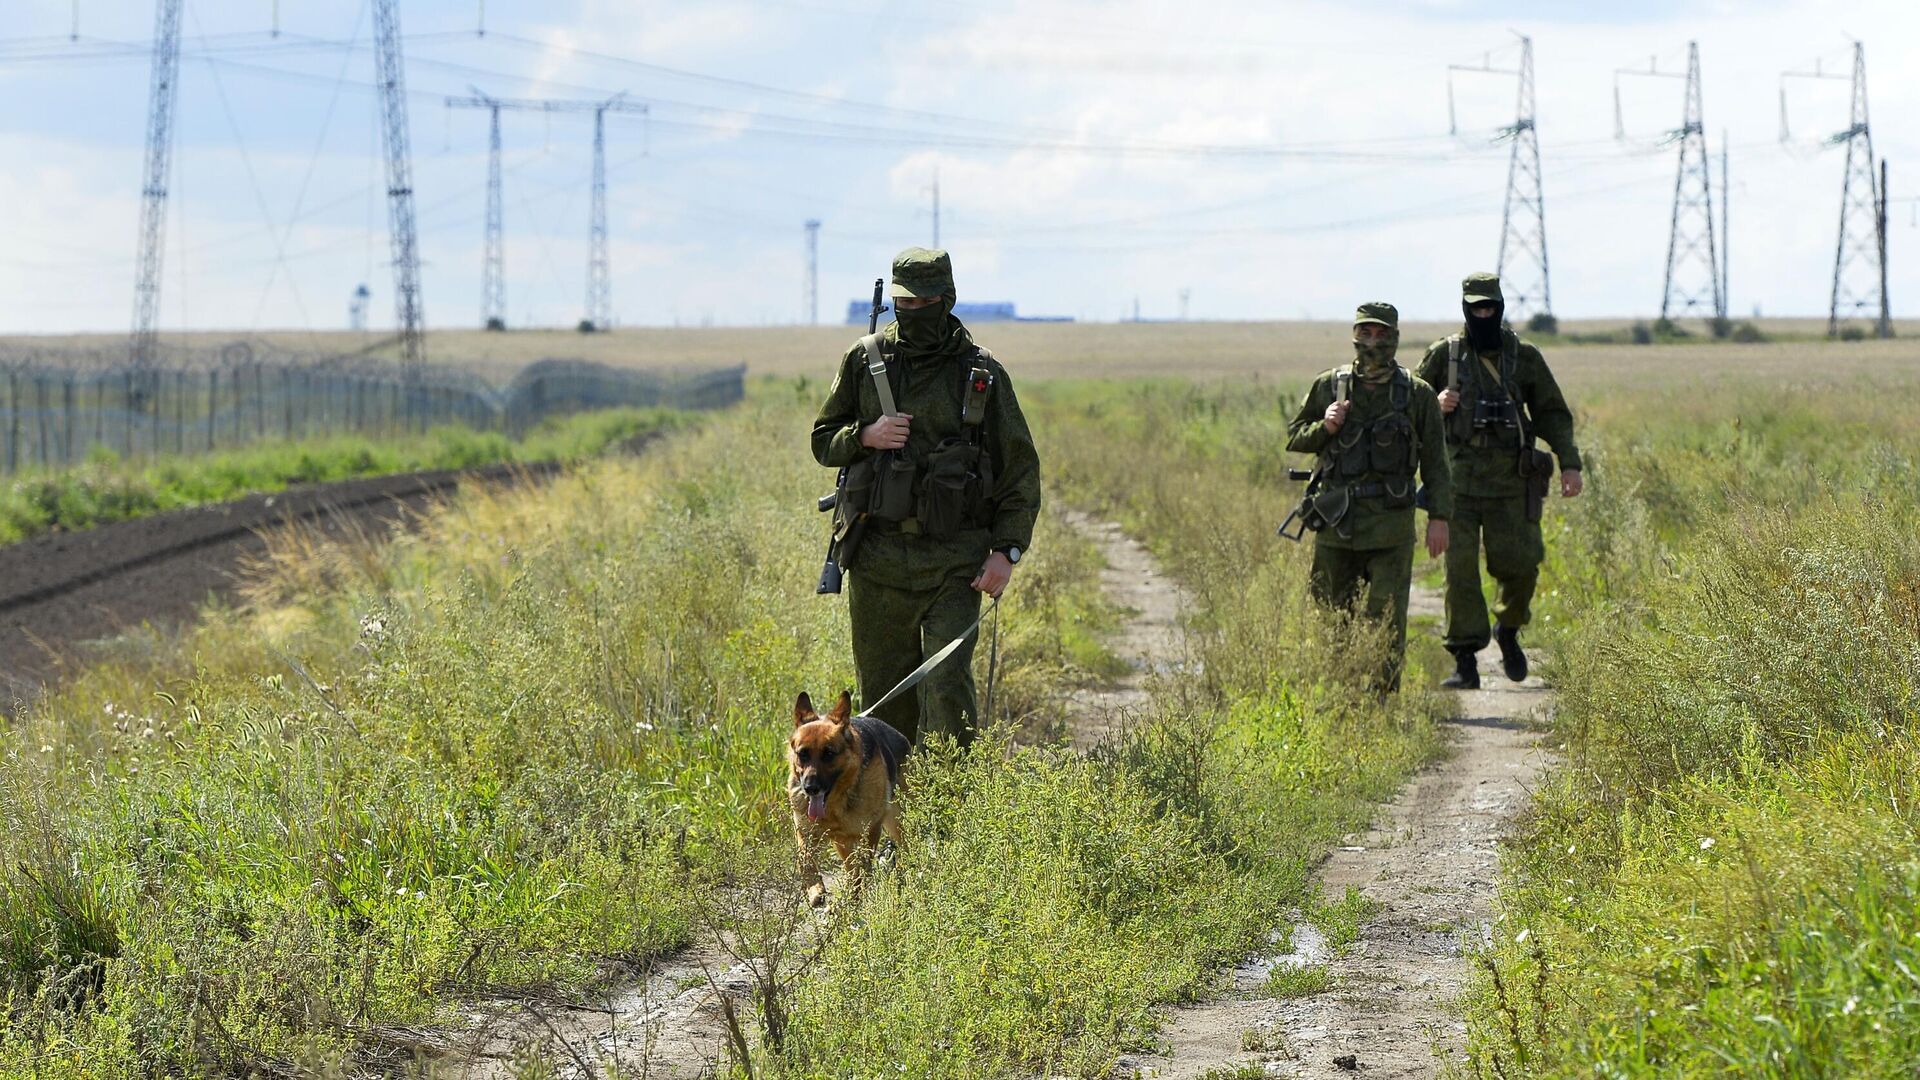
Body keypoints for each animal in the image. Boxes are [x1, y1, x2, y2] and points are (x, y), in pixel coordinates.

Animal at [794, 687, 913, 899]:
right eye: (802, 754)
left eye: (829, 754)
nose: (810, 788)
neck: (835, 804)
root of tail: (900, 735)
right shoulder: (806, 832)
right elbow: (805, 861)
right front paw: (815, 890)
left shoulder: (871, 829)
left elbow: (863, 866)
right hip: (844, 841)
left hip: (898, 822)